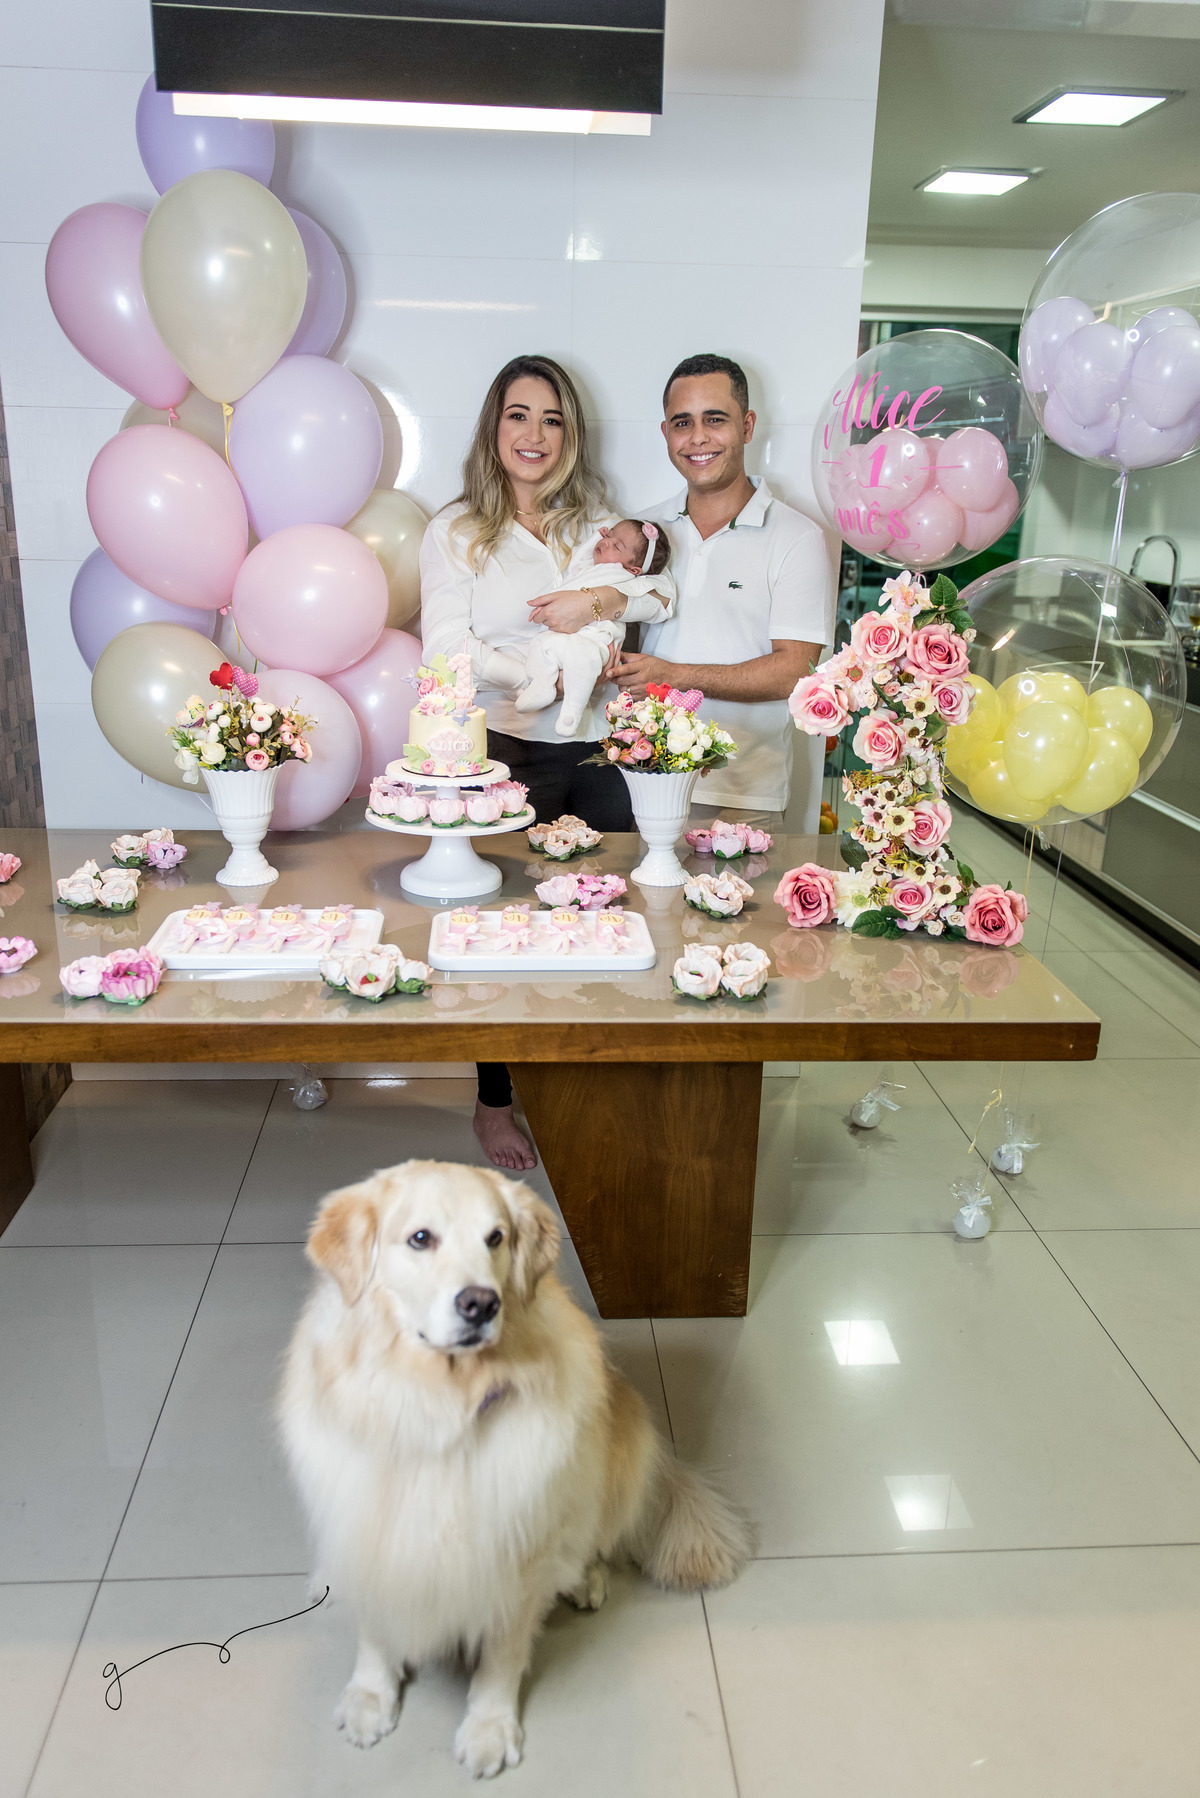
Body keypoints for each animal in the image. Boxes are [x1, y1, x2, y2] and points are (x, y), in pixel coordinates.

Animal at [278, 1159, 750, 1778]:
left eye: (495, 1238)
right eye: (420, 1238)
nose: (481, 1304)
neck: (438, 1408)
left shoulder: (515, 1550)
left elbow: (501, 1653)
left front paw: (488, 1727)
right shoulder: (369, 1531)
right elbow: (376, 1622)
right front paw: (371, 1695)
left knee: (594, 1539)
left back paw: (585, 1579)